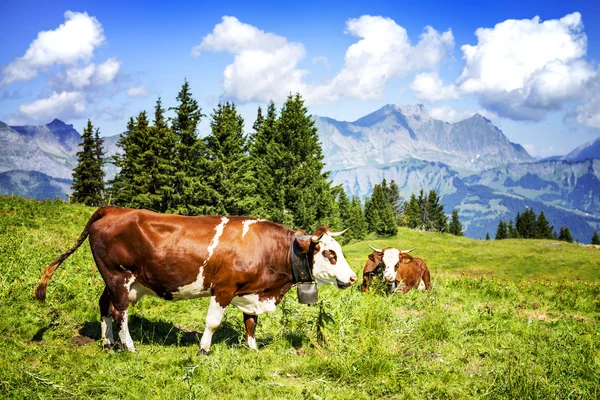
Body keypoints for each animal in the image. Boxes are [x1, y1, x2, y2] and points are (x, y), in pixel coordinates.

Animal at [35, 208, 356, 354]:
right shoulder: (224, 288)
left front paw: (252, 348)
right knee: (120, 312)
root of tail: (114, 209)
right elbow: (212, 322)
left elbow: (251, 322)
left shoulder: (251, 292)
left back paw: (107, 341)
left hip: (113, 280)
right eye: (329, 253)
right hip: (119, 277)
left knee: (104, 305)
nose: (352, 278)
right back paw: (129, 346)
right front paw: (204, 349)